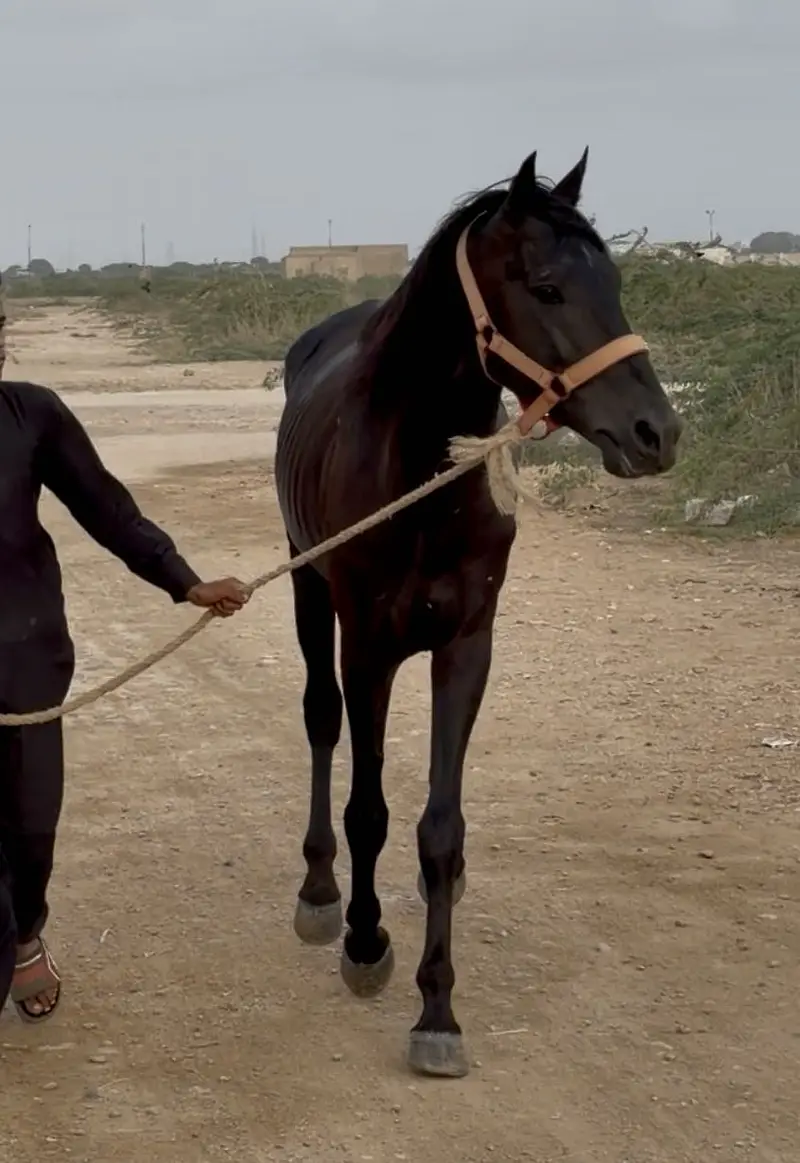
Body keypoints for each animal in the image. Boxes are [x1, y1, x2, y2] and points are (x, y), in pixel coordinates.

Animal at [274, 147, 682, 1078]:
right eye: (547, 286)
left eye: (614, 280)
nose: (657, 432)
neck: (421, 473)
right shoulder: (370, 647)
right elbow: (369, 808)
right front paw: (366, 943)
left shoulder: (466, 644)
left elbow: (440, 827)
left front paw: (439, 1008)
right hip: (308, 592)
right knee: (320, 724)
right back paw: (319, 891)